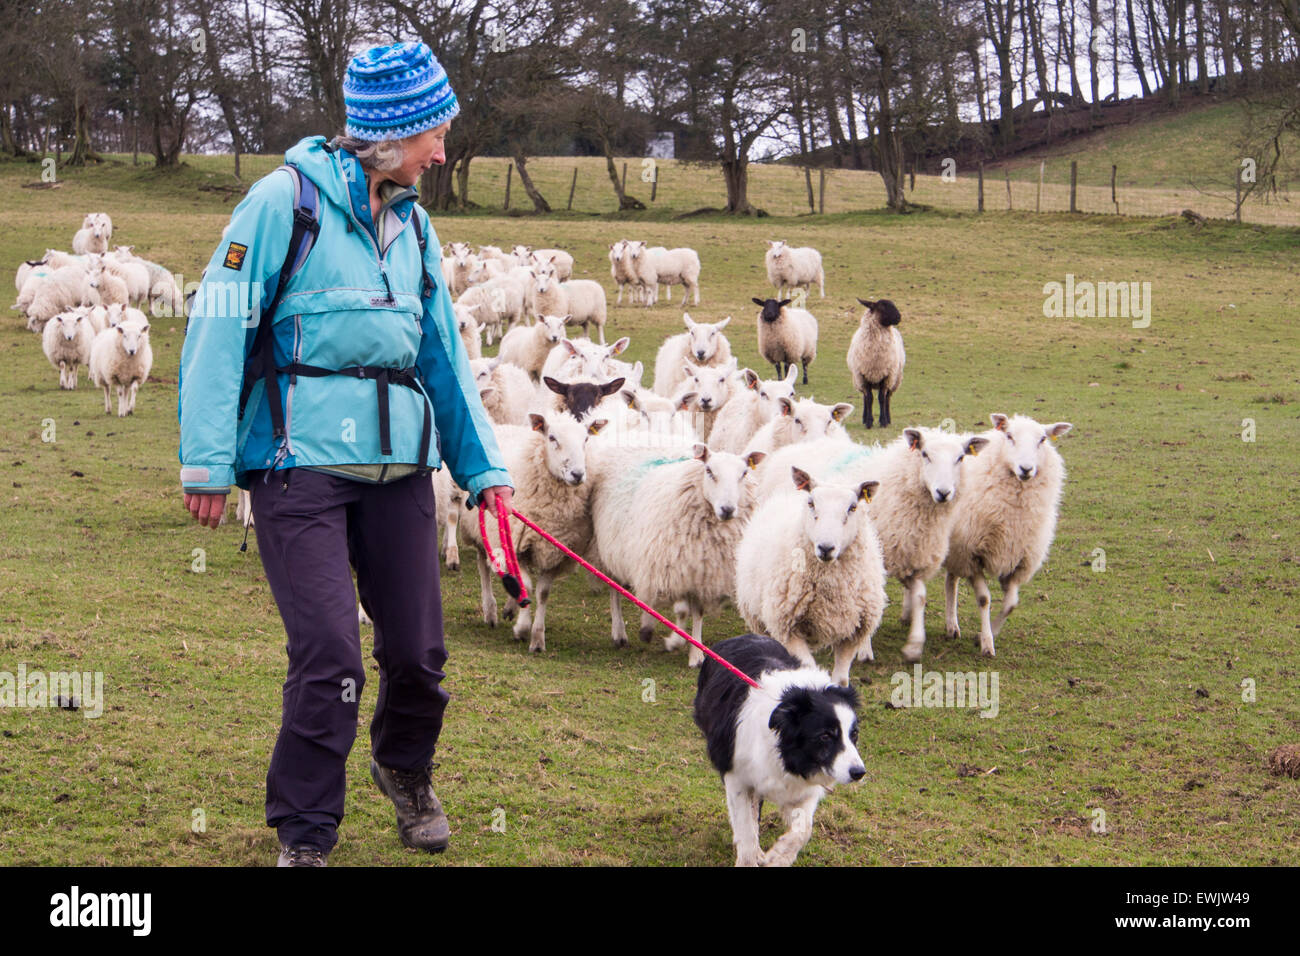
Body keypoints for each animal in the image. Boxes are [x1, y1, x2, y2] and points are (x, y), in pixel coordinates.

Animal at [462, 411, 608, 650]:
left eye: (586, 439)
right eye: (552, 437)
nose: (577, 474)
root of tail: (505, 426)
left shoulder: (554, 551)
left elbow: (542, 593)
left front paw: (537, 638)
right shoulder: (517, 546)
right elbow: (528, 587)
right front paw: (522, 629)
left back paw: (511, 605)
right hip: (481, 529)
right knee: (483, 566)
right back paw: (490, 611)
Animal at [587, 442, 759, 660]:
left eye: (744, 473)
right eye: (709, 471)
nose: (727, 509)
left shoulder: (701, 575)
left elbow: (697, 612)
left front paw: (696, 654)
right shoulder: (670, 567)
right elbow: (680, 610)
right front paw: (672, 640)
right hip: (614, 549)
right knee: (615, 590)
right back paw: (620, 633)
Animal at [738, 465, 889, 686]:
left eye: (852, 508)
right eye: (811, 503)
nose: (826, 548)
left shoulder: (854, 631)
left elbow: (841, 679)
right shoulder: (789, 628)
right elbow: (808, 668)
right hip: (758, 617)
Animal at [842, 297, 904, 429]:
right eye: (882, 306)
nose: (899, 317)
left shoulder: (887, 376)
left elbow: (882, 399)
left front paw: (883, 421)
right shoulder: (863, 376)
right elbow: (869, 399)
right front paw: (869, 422)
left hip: (895, 379)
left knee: (887, 398)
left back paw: (888, 418)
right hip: (858, 380)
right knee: (865, 398)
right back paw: (864, 418)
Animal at [941, 413, 1071, 658]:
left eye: (1042, 439)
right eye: (1009, 436)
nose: (1026, 469)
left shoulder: (1018, 561)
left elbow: (1011, 604)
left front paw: (985, 634)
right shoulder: (973, 556)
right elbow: (984, 599)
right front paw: (987, 644)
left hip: (955, 550)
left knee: (951, 580)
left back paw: (952, 626)